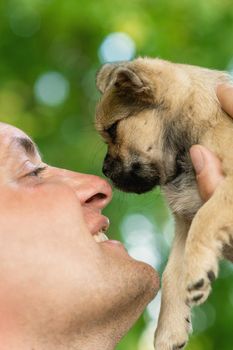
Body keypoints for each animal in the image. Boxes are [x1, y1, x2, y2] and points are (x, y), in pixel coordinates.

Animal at [94, 58, 233, 350]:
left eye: (113, 129)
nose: (105, 170)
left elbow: (207, 218)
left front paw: (197, 270)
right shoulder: (184, 222)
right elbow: (171, 273)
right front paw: (170, 328)